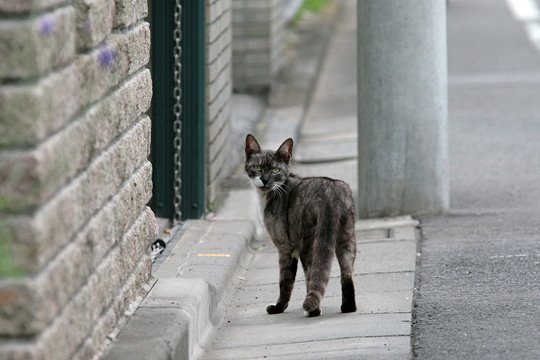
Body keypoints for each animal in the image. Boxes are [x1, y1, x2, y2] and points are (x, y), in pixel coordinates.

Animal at [244, 134, 354, 316]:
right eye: (258, 168)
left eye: (275, 170)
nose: (264, 180)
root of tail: (330, 192)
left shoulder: (285, 248)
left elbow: (285, 281)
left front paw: (278, 308)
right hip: (347, 239)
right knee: (347, 274)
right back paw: (348, 307)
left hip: (309, 245)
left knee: (312, 275)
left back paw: (312, 311)